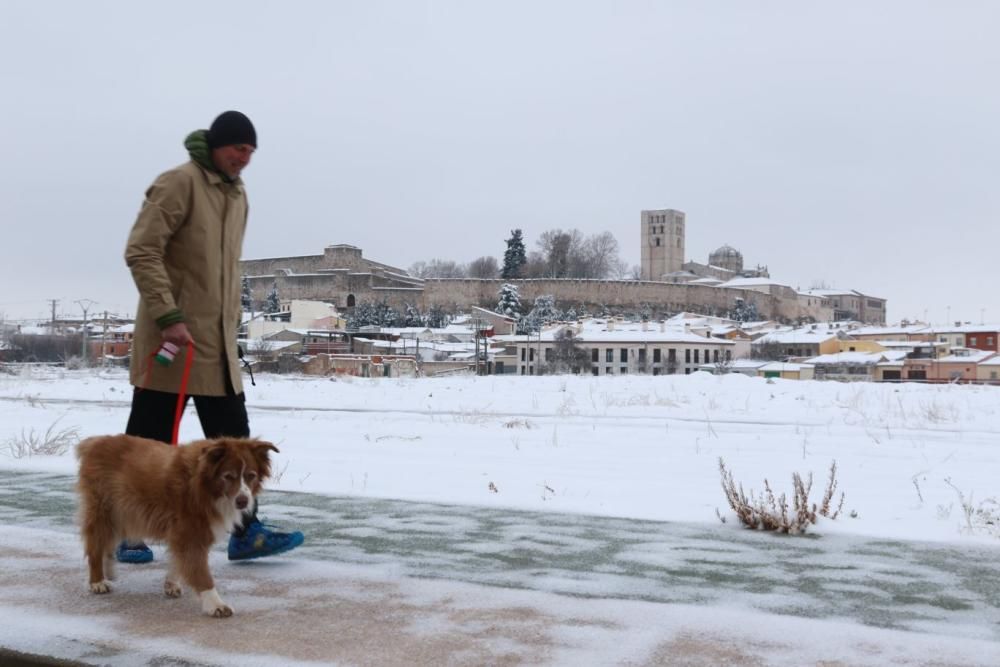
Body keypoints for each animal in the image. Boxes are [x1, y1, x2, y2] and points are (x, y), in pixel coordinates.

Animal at [74, 436, 280, 620]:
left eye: (251, 476)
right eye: (228, 476)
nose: (243, 501)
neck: (205, 485)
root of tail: (94, 442)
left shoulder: (183, 532)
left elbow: (178, 561)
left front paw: (171, 584)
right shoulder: (190, 529)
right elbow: (200, 571)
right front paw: (216, 605)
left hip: (123, 513)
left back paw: (108, 570)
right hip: (105, 510)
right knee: (95, 545)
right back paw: (97, 581)